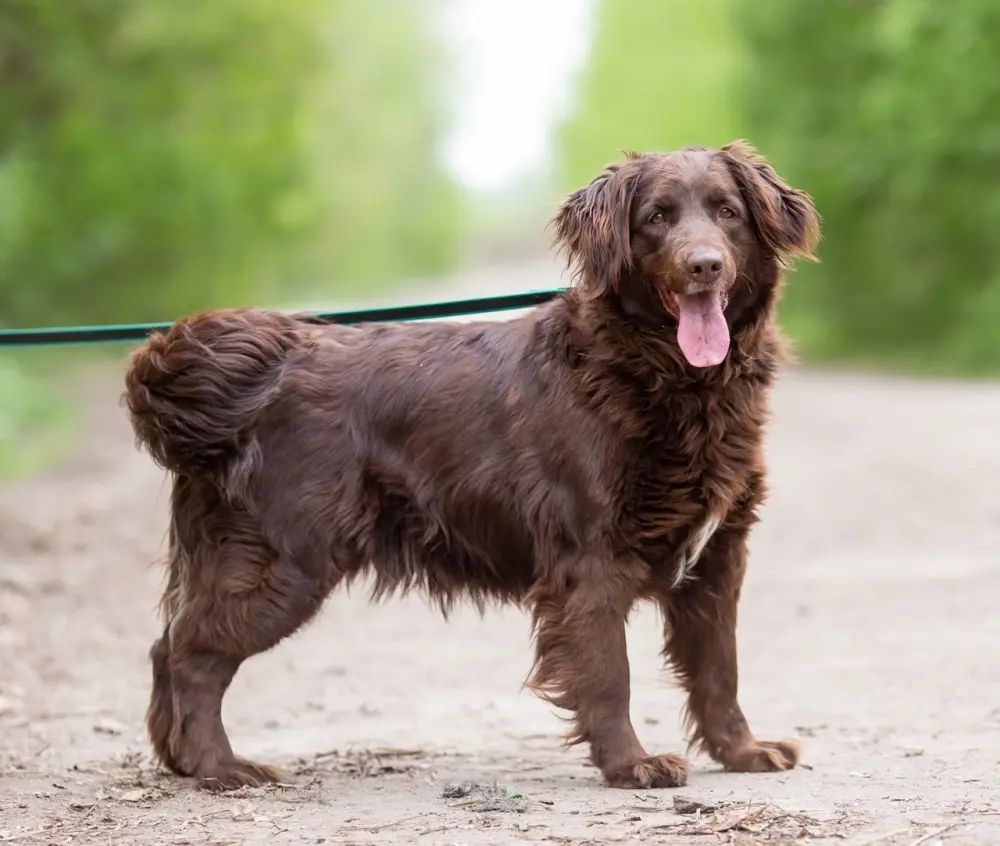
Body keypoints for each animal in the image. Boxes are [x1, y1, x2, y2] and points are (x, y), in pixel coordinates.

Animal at [123, 141, 820, 796]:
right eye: (656, 217)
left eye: (727, 213)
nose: (704, 265)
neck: (663, 375)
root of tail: (255, 378)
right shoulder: (591, 560)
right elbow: (609, 674)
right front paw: (632, 764)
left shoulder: (717, 557)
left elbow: (719, 670)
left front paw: (742, 752)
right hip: (283, 562)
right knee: (190, 653)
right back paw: (219, 767)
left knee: (165, 647)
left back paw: (182, 762)